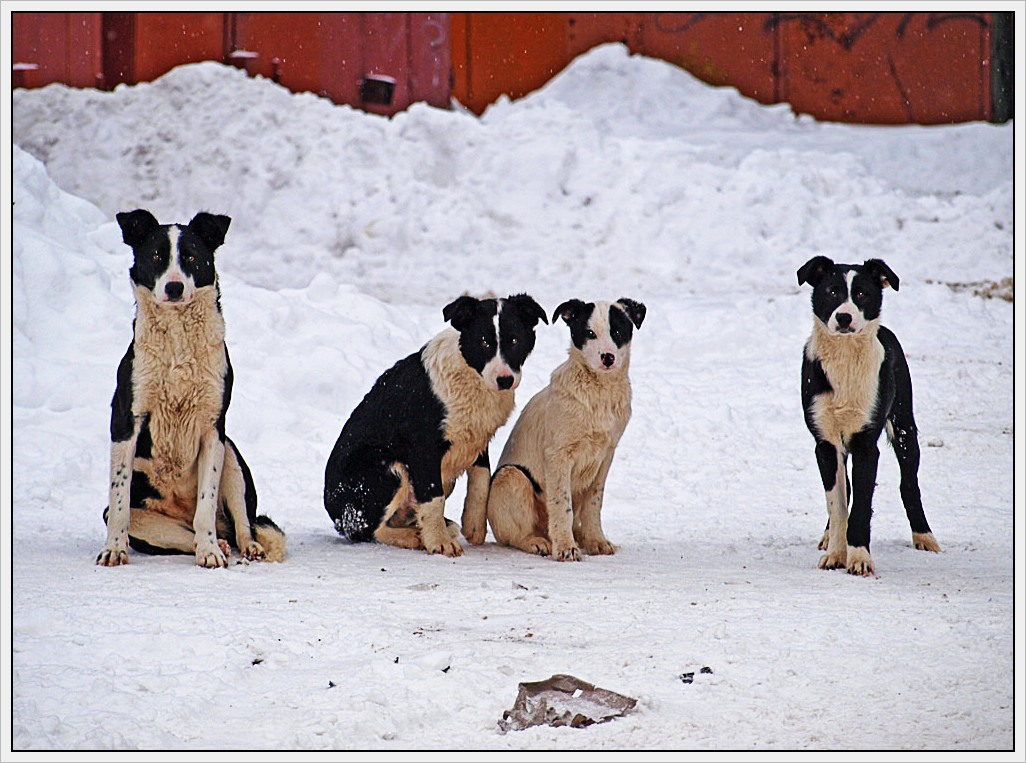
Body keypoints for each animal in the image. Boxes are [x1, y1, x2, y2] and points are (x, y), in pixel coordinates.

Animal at [96, 211, 285, 570]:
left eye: (192, 257)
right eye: (156, 256)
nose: (174, 287)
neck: (178, 344)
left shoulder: (213, 428)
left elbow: (206, 505)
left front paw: (208, 551)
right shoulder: (125, 421)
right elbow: (119, 498)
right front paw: (113, 549)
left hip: (232, 455)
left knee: (240, 524)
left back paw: (240, 546)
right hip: (150, 520)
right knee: (178, 536)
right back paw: (215, 544)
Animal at [324, 291, 549, 553]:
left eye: (514, 341)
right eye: (484, 342)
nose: (505, 380)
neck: (471, 375)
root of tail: (332, 509)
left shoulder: (478, 437)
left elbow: (481, 481)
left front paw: (473, 527)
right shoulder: (424, 448)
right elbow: (434, 497)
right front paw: (439, 543)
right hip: (386, 466)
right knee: (365, 530)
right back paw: (413, 537)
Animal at [469, 297, 644, 561]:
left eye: (617, 331)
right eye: (589, 333)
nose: (608, 357)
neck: (598, 395)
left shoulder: (605, 456)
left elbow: (594, 503)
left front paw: (596, 541)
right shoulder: (559, 455)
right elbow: (562, 505)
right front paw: (565, 548)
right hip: (512, 477)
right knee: (514, 535)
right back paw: (538, 542)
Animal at [796, 253, 939, 574]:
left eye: (861, 294)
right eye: (832, 292)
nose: (844, 317)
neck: (845, 361)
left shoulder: (866, 442)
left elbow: (861, 504)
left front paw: (859, 558)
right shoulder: (825, 443)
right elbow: (838, 504)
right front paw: (836, 553)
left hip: (904, 425)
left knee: (909, 483)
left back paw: (924, 536)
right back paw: (829, 536)